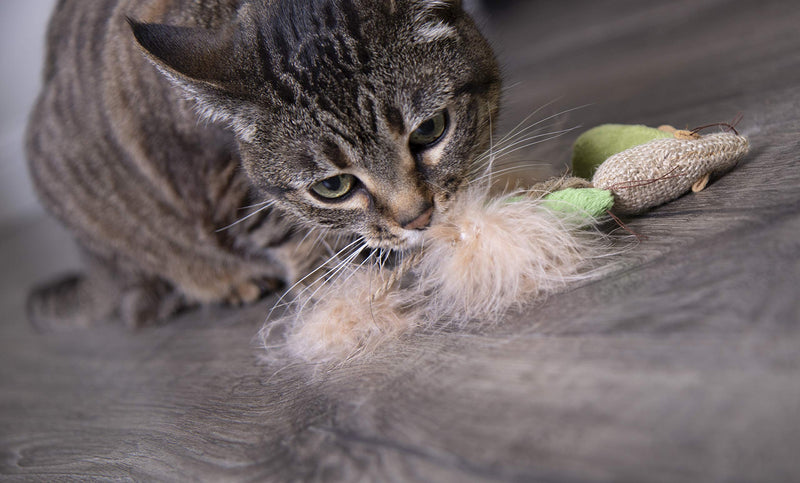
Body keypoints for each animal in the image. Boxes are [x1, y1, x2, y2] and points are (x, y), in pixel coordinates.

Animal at [25, 0, 500, 328]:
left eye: (429, 130)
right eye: (333, 187)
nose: (419, 218)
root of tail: (94, 272)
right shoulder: (216, 184)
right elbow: (280, 225)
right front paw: (333, 281)